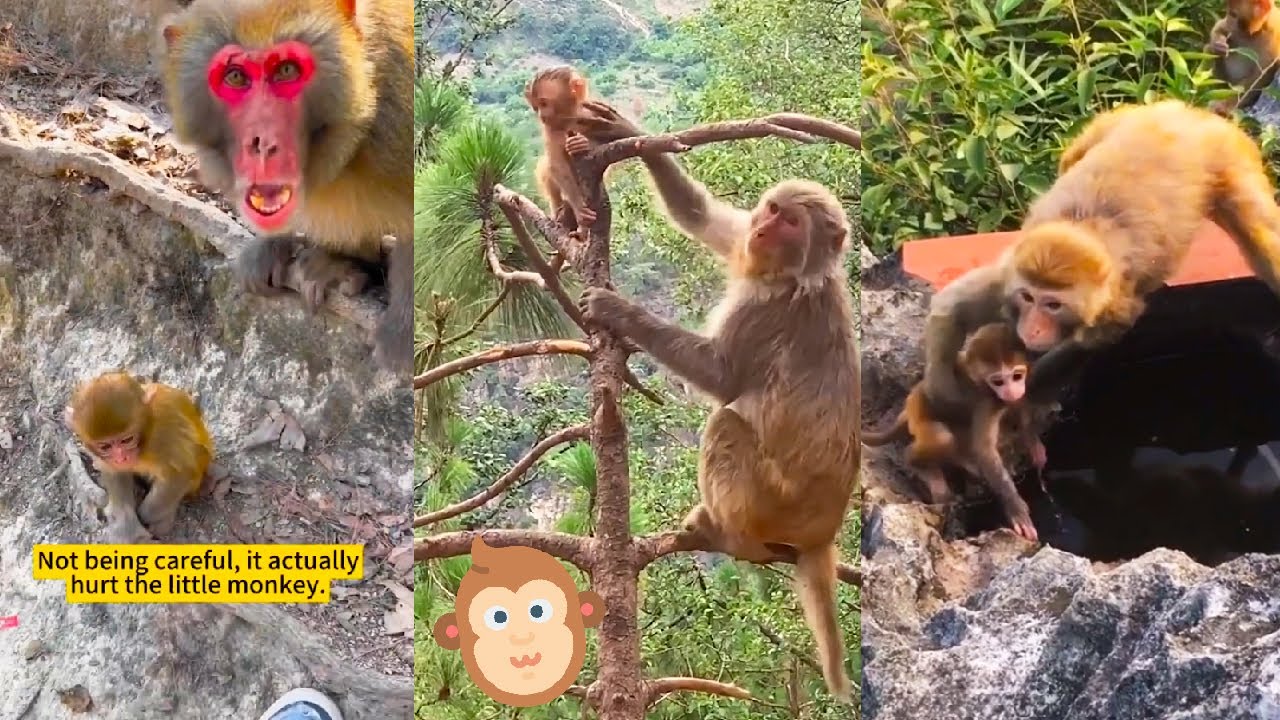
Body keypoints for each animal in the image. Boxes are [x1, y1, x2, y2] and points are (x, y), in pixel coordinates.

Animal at [64, 372, 214, 542]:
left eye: (126, 440)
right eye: (105, 447)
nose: (121, 458)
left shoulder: (162, 434)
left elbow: (181, 472)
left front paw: (145, 515)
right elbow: (117, 472)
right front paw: (125, 525)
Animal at [579, 174, 858, 702]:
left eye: (791, 222)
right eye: (771, 210)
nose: (763, 229)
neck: (794, 275)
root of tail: (822, 533)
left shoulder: (765, 311)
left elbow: (722, 377)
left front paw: (619, 310)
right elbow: (701, 216)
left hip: (772, 503)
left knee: (726, 424)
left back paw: (730, 535)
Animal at [864, 323, 1043, 541]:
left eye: (1017, 376)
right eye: (998, 381)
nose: (1011, 390)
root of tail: (909, 404)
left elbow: (1021, 407)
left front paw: (1034, 444)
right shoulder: (988, 401)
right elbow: (985, 450)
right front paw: (1016, 509)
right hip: (919, 417)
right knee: (943, 438)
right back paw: (920, 465)